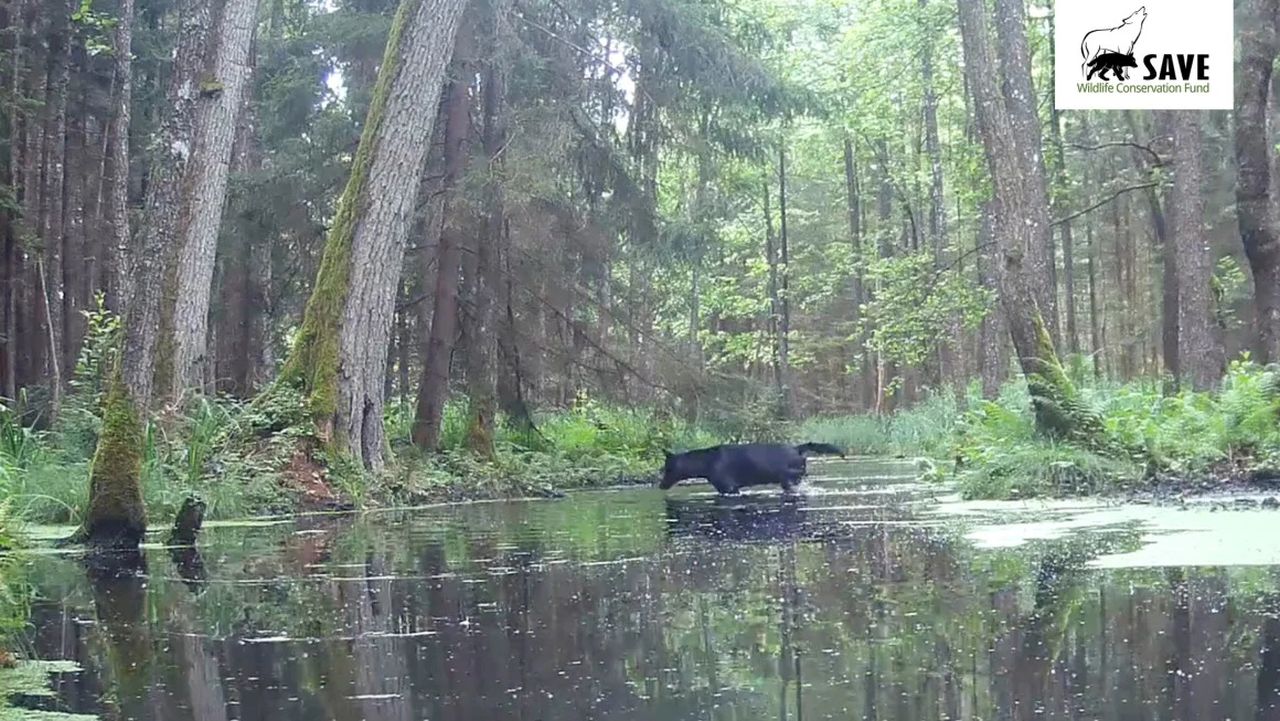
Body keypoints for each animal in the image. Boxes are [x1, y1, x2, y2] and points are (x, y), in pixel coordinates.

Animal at [660, 440, 849, 496]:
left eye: (667, 468)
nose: (660, 485)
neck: (705, 463)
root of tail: (797, 449)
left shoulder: (730, 488)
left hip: (789, 480)